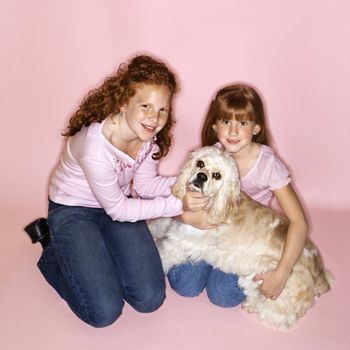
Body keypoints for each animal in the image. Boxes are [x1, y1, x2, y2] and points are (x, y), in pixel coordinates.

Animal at [149, 146, 332, 330]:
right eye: (200, 163)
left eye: (217, 175)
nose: (201, 176)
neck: (217, 203)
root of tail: (320, 273)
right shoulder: (175, 226)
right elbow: (160, 224)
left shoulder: (178, 242)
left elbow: (161, 256)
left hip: (265, 275)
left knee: (281, 315)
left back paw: (254, 307)